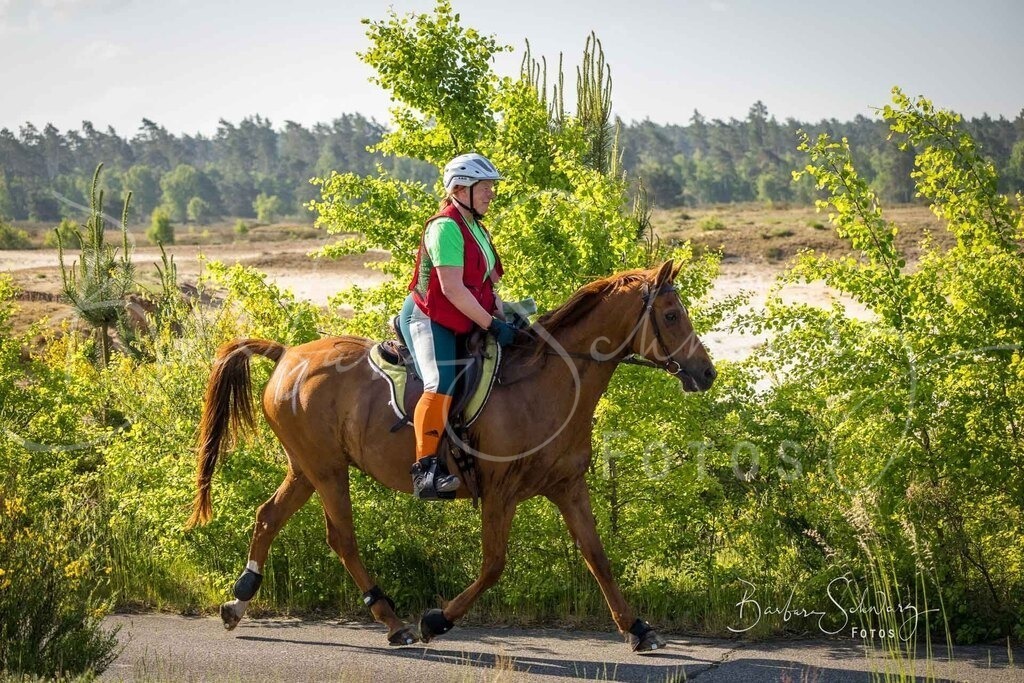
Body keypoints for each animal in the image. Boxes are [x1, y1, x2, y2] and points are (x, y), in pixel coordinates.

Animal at [187, 259, 716, 652]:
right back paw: (394, 621)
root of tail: (287, 355)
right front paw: (436, 619)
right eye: (672, 315)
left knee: (268, 516)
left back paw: (238, 602)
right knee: (342, 539)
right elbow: (494, 564)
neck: (550, 383)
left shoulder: (568, 486)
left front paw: (639, 629)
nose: (706, 373)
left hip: (306, 467)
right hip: (327, 469)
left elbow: (598, 557)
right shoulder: (500, 491)